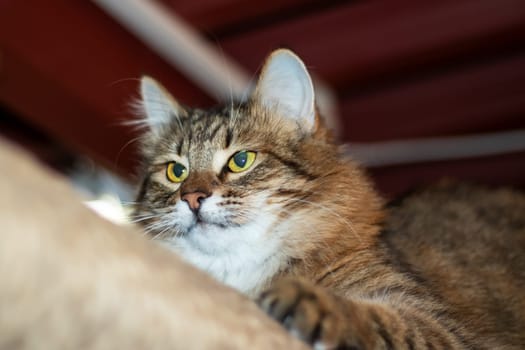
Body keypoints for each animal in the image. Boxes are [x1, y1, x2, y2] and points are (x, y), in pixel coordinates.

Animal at [131, 49, 524, 350]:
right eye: (175, 171)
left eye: (241, 160)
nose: (192, 197)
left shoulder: (448, 330)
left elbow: (380, 320)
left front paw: (309, 302)